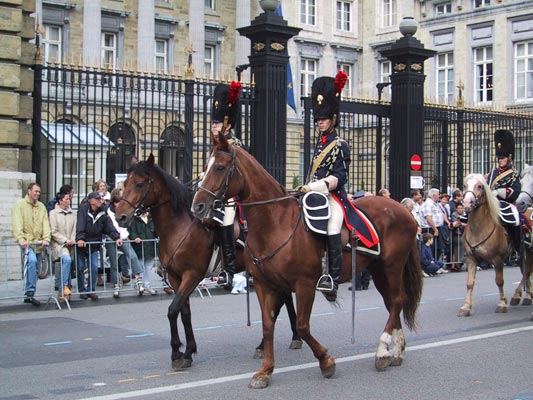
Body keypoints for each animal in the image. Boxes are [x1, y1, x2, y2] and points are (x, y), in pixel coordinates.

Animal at [115, 155, 302, 370]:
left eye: (139, 184)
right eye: (125, 183)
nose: (120, 216)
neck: (180, 226)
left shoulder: (192, 275)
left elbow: (172, 310)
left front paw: (177, 353)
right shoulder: (176, 277)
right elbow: (184, 312)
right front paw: (188, 351)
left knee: (278, 303)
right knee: (284, 299)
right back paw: (291, 337)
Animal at [192, 133, 424, 390]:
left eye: (220, 167)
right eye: (205, 167)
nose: (197, 206)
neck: (276, 223)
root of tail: (404, 210)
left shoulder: (304, 285)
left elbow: (302, 326)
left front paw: (326, 361)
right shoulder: (265, 284)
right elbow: (268, 325)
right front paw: (265, 371)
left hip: (392, 266)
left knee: (397, 300)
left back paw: (383, 352)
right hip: (378, 269)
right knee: (394, 302)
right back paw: (396, 352)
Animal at [458, 173, 532, 318]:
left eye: (479, 186)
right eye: (465, 185)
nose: (468, 203)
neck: (479, 229)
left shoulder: (497, 259)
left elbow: (499, 281)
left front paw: (502, 304)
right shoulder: (471, 258)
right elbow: (470, 283)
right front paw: (465, 307)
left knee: (527, 271)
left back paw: (519, 296)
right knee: (526, 271)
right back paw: (524, 296)